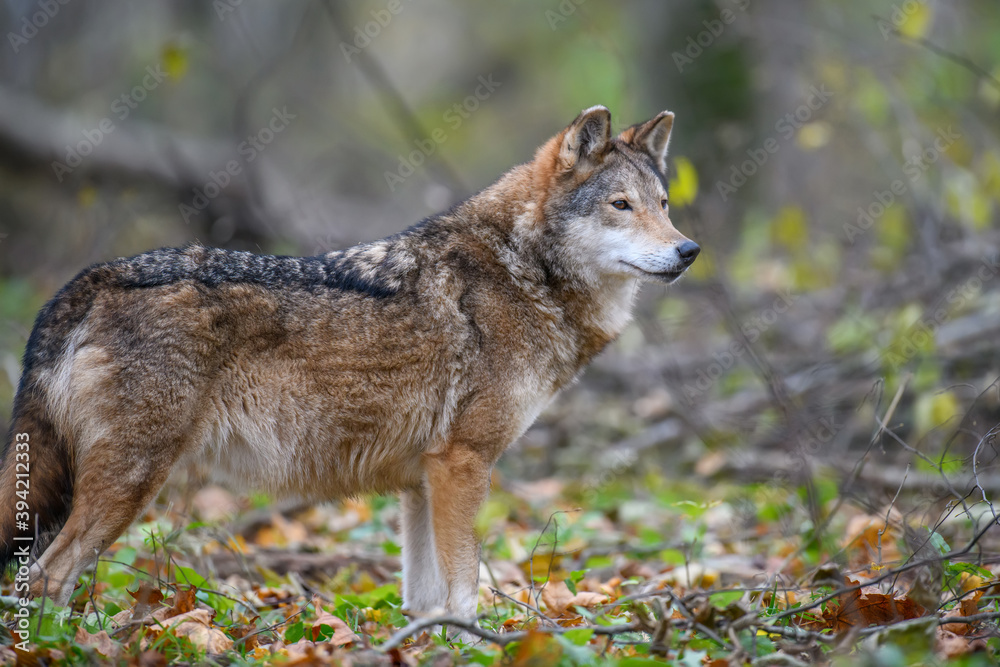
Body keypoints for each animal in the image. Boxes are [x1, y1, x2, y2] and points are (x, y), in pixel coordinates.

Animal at [0, 105, 700, 620]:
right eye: (620, 205)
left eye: (663, 204)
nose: (689, 250)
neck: (525, 272)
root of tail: (88, 281)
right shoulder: (463, 464)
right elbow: (464, 592)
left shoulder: (423, 481)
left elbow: (425, 602)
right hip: (128, 483)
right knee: (46, 580)